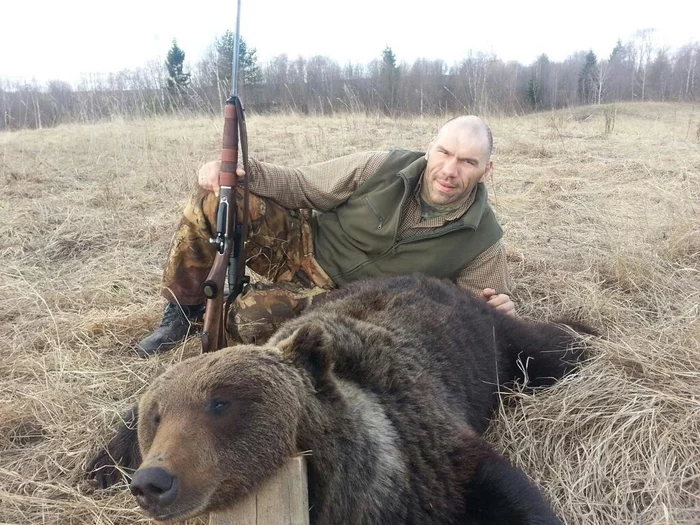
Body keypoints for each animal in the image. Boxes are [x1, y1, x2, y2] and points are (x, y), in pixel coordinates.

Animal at [89, 274, 592, 524]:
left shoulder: (432, 457)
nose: (153, 482)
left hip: (493, 342)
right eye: (156, 417)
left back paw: (588, 333)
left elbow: (508, 495)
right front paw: (101, 465)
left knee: (547, 347)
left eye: (220, 403)